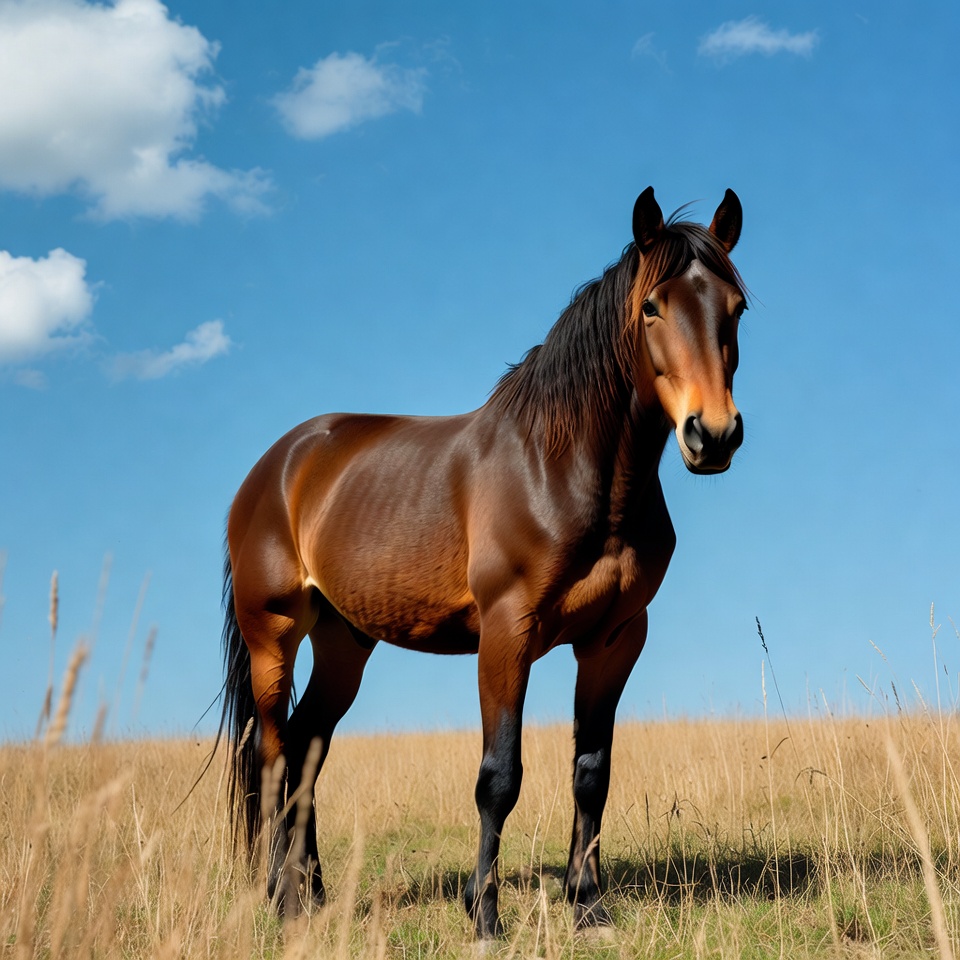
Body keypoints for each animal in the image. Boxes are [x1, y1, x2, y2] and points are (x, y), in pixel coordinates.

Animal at [219, 186, 748, 939]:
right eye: (652, 306)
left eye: (736, 308)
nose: (714, 434)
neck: (561, 467)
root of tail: (277, 465)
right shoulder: (506, 633)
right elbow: (499, 776)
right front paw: (486, 915)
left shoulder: (615, 639)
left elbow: (592, 770)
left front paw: (588, 905)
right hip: (274, 634)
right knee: (270, 754)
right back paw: (281, 899)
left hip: (344, 642)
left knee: (304, 748)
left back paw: (314, 893)